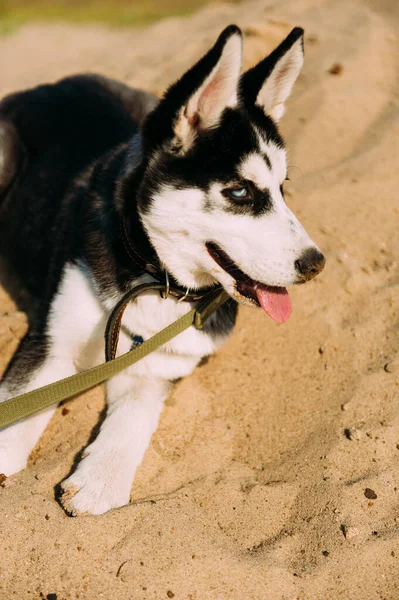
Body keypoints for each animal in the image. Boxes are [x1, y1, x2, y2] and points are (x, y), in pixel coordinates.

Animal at [0, 25, 324, 516]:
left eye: (282, 188)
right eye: (240, 192)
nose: (315, 264)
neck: (158, 281)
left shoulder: (159, 368)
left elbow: (134, 417)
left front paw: (100, 480)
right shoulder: (50, 347)